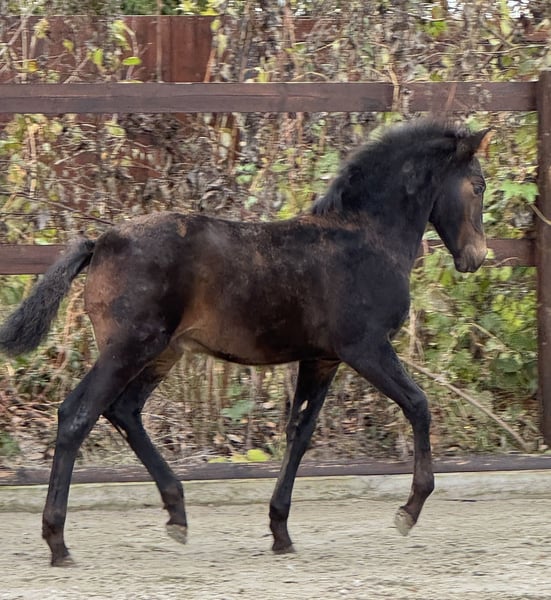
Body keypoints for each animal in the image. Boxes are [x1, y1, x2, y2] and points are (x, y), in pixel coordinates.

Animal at [0, 119, 492, 566]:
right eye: (479, 185)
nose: (476, 258)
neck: (364, 236)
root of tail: (101, 242)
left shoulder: (322, 359)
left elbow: (300, 433)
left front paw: (280, 531)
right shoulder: (366, 349)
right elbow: (418, 405)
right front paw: (409, 511)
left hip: (161, 353)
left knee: (124, 411)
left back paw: (177, 514)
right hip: (129, 348)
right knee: (77, 415)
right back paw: (58, 542)